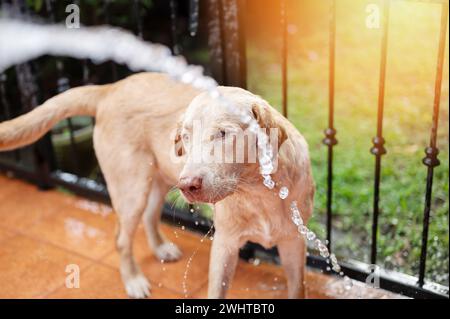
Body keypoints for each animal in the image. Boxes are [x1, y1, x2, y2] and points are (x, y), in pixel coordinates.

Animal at [0, 72, 314, 300]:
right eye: (185, 136)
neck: (259, 192)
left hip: (160, 180)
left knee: (150, 216)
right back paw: (134, 281)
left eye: (224, 134)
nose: (188, 185)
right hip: (131, 188)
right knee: (121, 238)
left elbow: (297, 288)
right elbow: (216, 290)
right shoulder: (225, 244)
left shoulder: (293, 244)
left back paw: (161, 249)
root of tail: (111, 88)